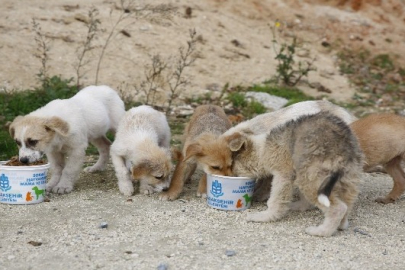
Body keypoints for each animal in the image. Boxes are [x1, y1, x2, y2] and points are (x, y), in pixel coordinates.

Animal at [226, 112, 362, 236]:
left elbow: (276, 199)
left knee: (338, 208)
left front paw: (266, 216)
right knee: (346, 205)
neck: (262, 149)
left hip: (311, 178)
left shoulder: (283, 175)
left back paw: (321, 231)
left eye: (233, 165)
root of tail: (343, 146)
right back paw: (341, 225)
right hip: (348, 178)